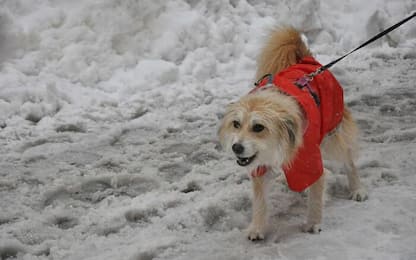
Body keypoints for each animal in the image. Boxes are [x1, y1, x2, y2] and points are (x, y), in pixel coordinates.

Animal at [218, 27, 368, 241]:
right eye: (236, 124)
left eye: (258, 127)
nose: (236, 148)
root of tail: (306, 59)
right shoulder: (259, 167)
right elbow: (260, 201)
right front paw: (257, 227)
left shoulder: (310, 160)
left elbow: (316, 191)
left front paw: (313, 223)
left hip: (334, 134)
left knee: (348, 160)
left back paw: (357, 189)